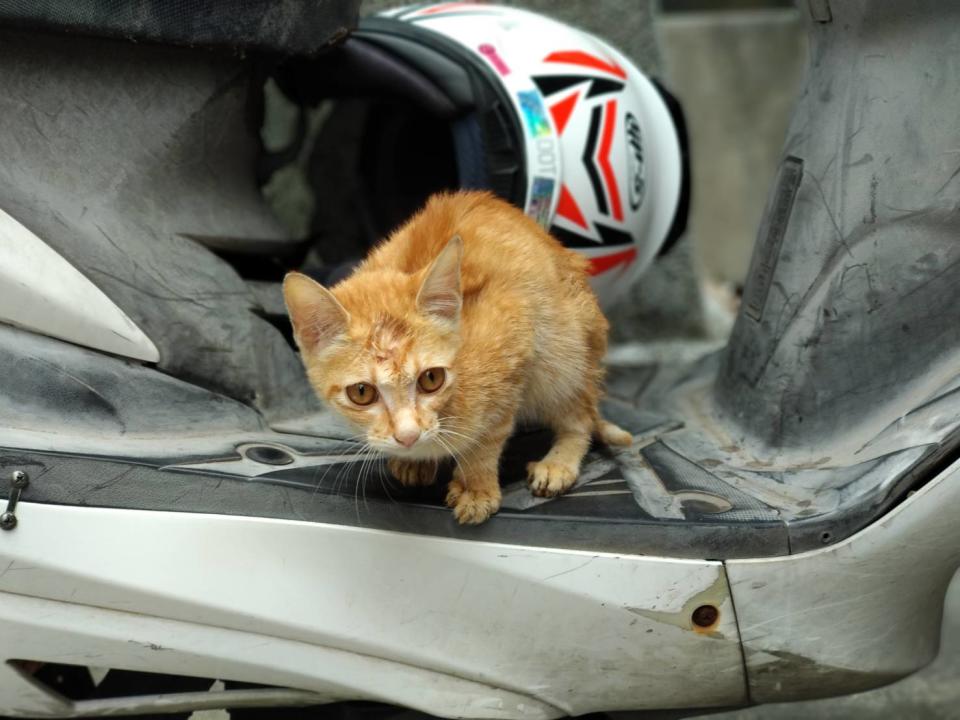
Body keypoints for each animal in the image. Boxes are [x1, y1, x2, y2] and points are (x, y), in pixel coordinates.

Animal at [284, 191, 632, 524]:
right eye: (361, 392)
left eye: (431, 379)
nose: (408, 437)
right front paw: (418, 461)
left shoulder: (515, 347)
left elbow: (486, 438)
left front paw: (476, 487)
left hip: (565, 354)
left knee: (580, 414)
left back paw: (559, 462)